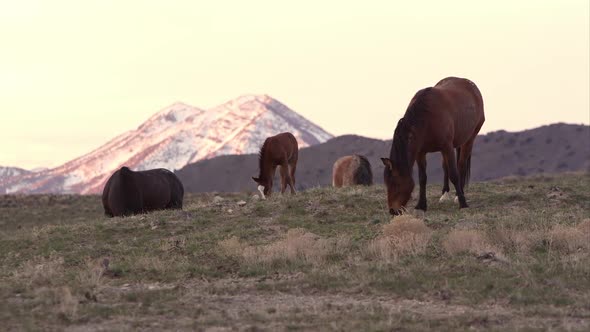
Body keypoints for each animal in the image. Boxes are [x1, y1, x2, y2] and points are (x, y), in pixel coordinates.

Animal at [382, 77, 488, 215]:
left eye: (396, 184)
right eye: (386, 183)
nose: (392, 211)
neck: (426, 118)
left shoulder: (448, 147)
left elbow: (454, 174)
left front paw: (463, 203)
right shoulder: (420, 152)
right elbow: (422, 178)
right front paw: (421, 205)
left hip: (469, 139)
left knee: (461, 165)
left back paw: (458, 196)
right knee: (445, 166)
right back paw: (444, 194)